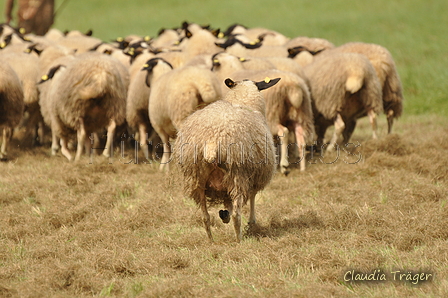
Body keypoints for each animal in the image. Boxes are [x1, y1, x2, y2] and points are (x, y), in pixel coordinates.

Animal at [173, 76, 278, 242]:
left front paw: (224, 215)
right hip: (237, 173)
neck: (243, 101)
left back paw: (211, 241)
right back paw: (239, 240)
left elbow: (227, 203)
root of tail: (212, 140)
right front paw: (252, 222)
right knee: (236, 215)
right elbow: (253, 198)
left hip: (196, 178)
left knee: (205, 217)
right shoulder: (255, 177)